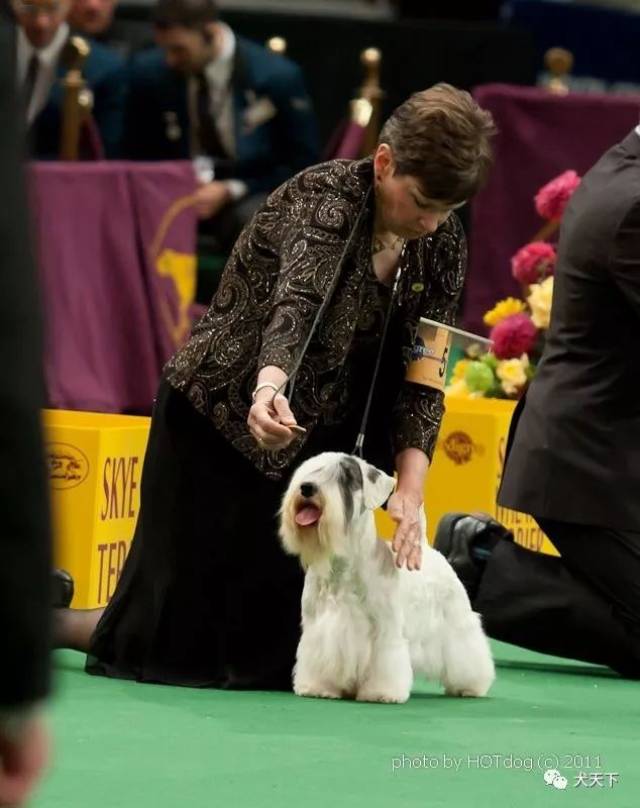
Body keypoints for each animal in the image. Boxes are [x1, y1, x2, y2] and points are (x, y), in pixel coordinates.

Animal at [280, 452, 496, 704]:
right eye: (308, 471)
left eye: (345, 476)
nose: (306, 488)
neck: (342, 567)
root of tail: (426, 547)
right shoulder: (317, 627)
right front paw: (318, 686)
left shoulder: (385, 630)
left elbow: (385, 661)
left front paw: (381, 692)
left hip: (457, 620)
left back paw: (471, 686)